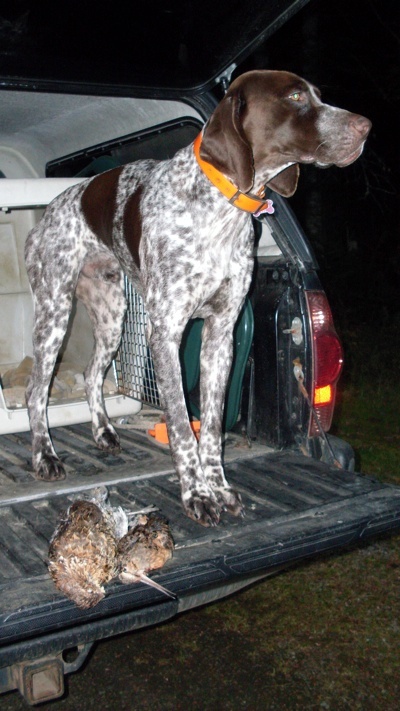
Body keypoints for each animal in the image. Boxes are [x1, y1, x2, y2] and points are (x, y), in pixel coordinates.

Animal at [25, 72, 370, 524]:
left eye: (316, 95)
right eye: (295, 96)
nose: (365, 127)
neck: (220, 208)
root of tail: (49, 212)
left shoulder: (220, 335)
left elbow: (210, 427)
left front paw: (218, 487)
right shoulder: (166, 334)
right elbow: (180, 427)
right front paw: (196, 493)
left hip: (112, 316)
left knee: (90, 374)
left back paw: (103, 431)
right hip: (54, 315)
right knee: (35, 392)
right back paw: (44, 456)